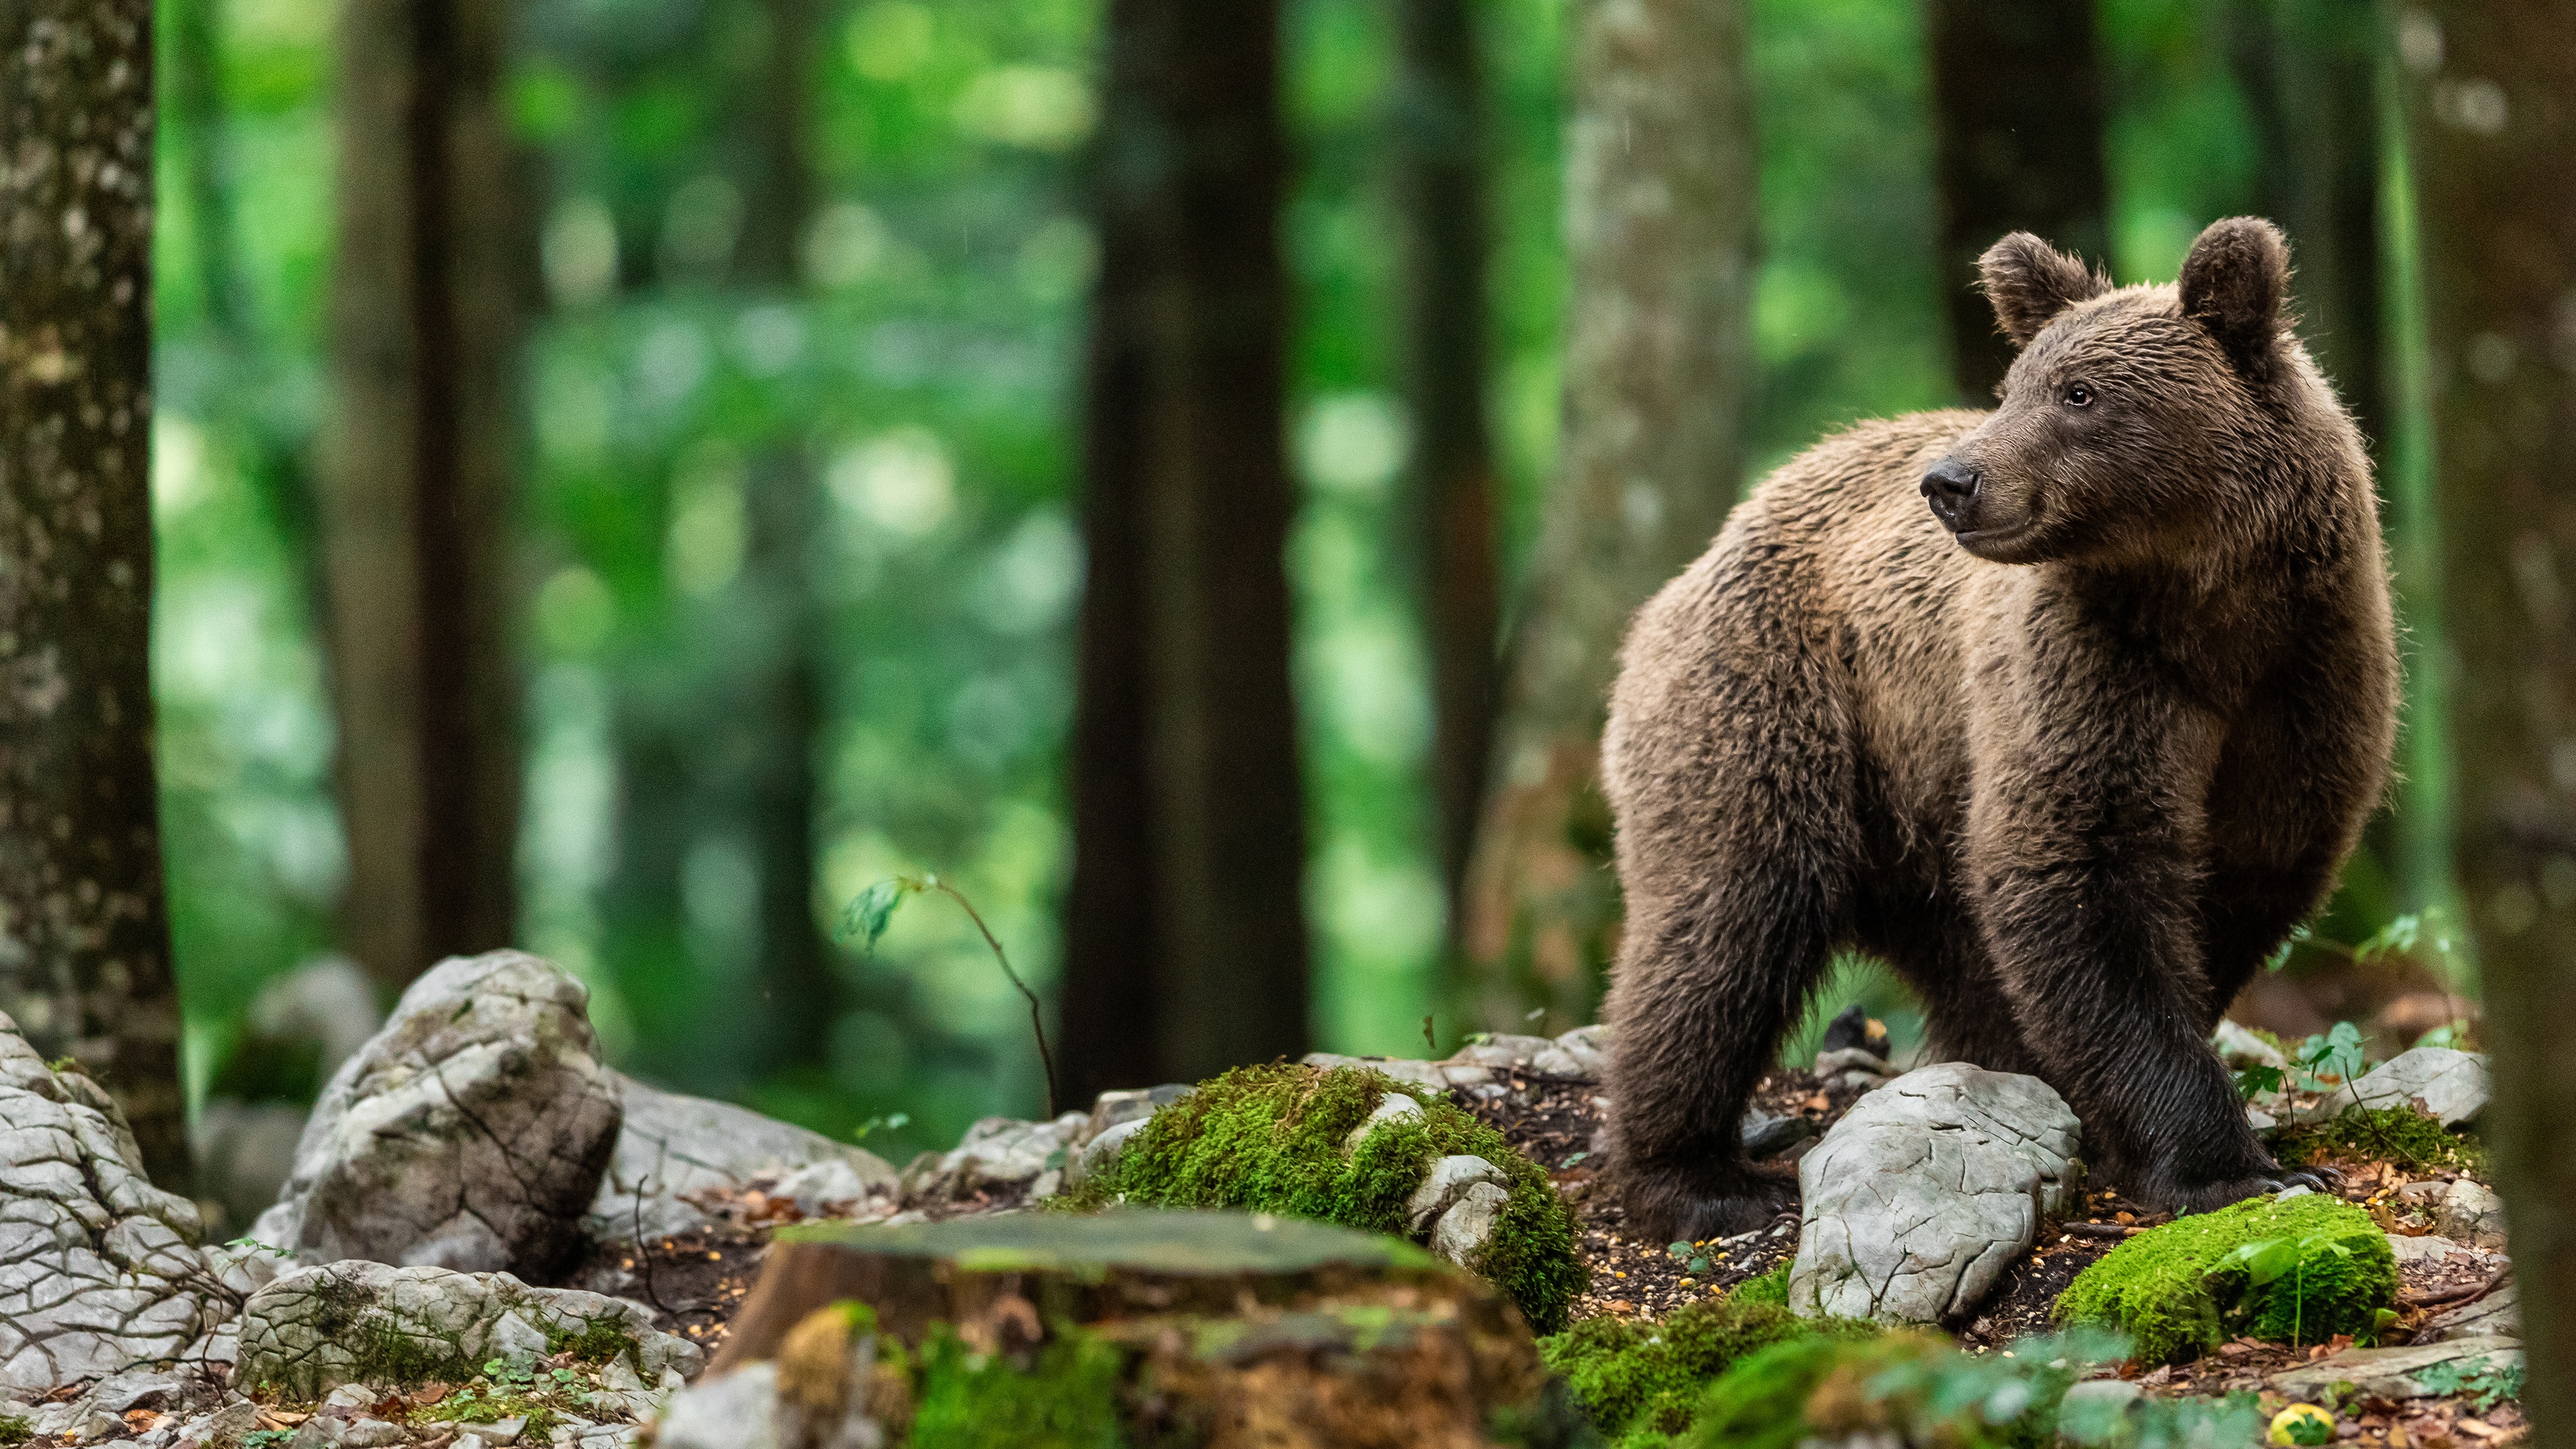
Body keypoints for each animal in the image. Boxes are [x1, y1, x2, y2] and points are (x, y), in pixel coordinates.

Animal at [1597, 216, 2400, 1242]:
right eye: (2016, 383)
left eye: (2079, 393)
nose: (1951, 482)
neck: (2209, 615)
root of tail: (1702, 557)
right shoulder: (2091, 673)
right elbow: (2082, 875)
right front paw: (2230, 1168)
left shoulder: (2304, 682)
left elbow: (2247, 873)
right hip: (1783, 700)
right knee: (1733, 911)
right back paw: (1699, 1176)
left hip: (1917, 797)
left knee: (1946, 943)